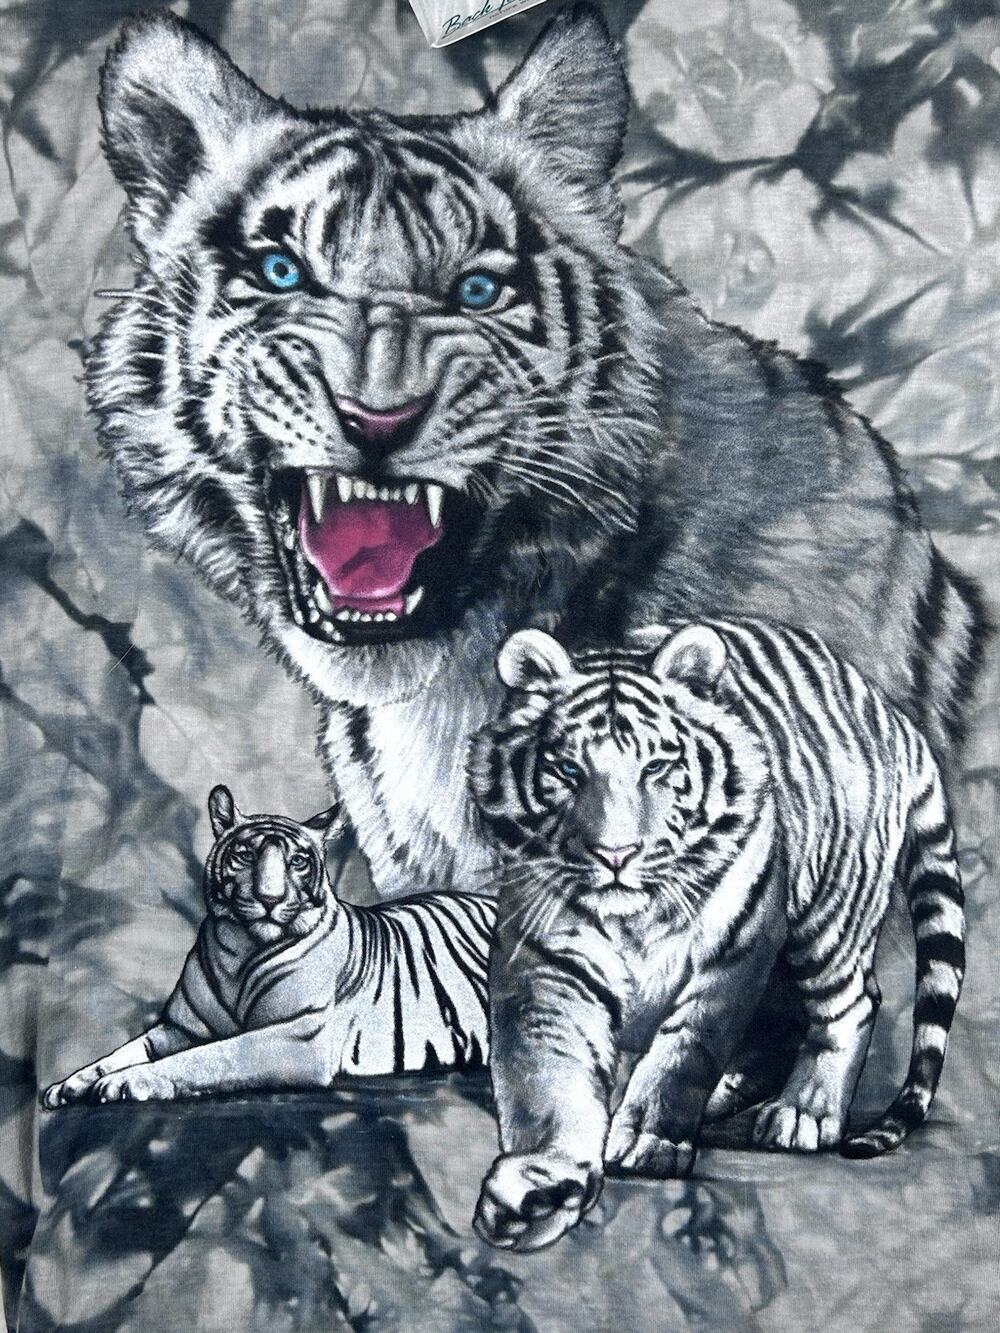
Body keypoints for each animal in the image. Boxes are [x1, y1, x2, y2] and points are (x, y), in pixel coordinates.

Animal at [42, 787, 493, 1107]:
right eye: (244, 854)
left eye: (298, 861)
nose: (270, 899)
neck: (238, 951)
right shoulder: (180, 1028)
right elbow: (123, 1051)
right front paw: (71, 1083)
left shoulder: (300, 1035)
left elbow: (212, 1056)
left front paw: (128, 1081)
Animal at [467, 620, 965, 1252]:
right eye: (568, 772)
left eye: (655, 768)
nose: (615, 855)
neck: (636, 917)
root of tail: (893, 716)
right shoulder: (546, 963)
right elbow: (546, 1075)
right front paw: (542, 1181)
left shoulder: (735, 949)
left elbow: (686, 1052)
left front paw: (648, 1141)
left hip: (829, 915)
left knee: (852, 1003)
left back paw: (804, 1113)